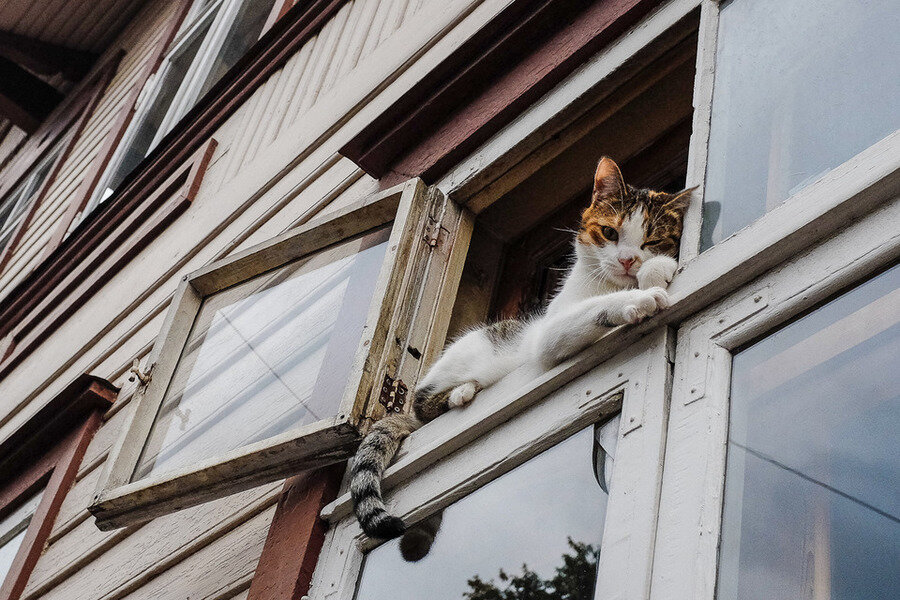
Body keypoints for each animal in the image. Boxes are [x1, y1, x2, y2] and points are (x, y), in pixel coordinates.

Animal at [348, 157, 692, 556]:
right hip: (472, 350)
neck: (610, 284)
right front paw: (638, 299)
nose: (626, 260)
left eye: (652, 241)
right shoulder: (549, 332)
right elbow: (595, 308)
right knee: (422, 403)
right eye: (610, 232)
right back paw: (460, 392)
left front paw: (655, 271)